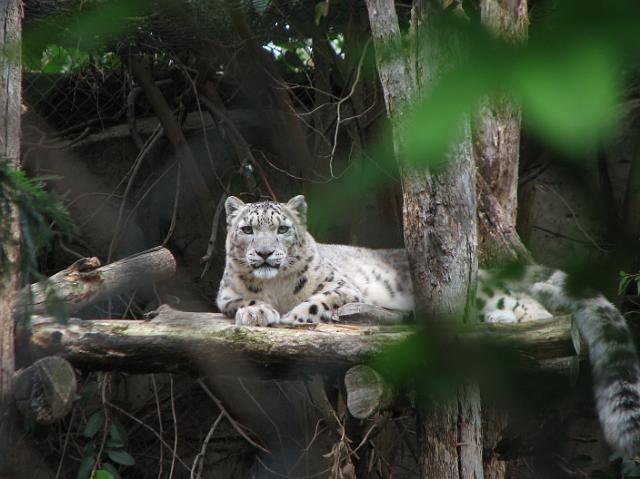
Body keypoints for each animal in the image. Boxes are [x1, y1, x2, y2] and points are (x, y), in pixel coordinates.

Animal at [218, 194, 640, 454]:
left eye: (282, 228)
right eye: (248, 230)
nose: (265, 253)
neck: (276, 286)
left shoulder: (340, 287)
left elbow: (318, 302)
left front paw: (292, 316)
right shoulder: (225, 294)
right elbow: (239, 301)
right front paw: (257, 312)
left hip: (487, 294)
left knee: (533, 308)